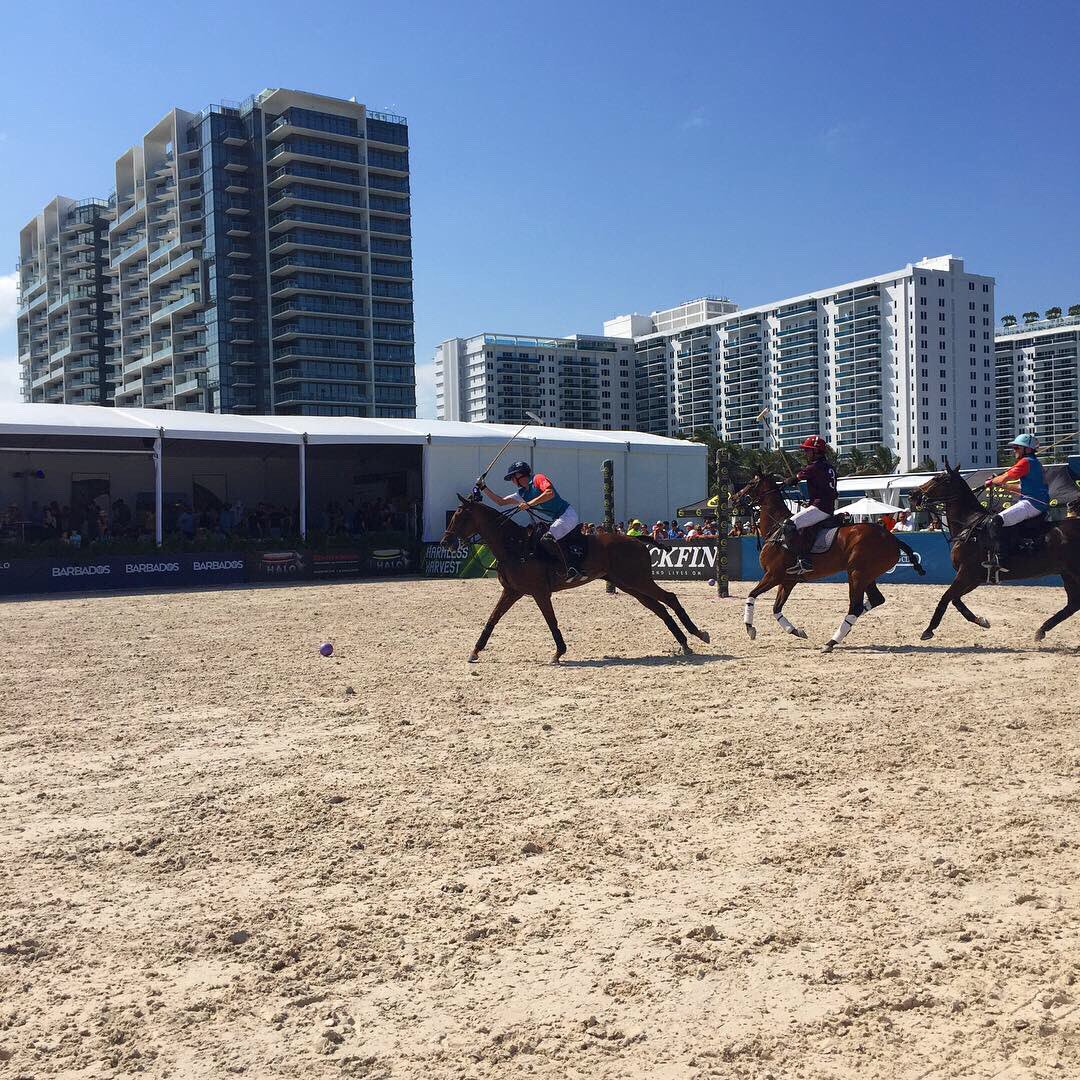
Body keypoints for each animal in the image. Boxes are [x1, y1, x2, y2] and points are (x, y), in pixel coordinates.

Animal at [438, 494, 708, 660]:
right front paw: (475, 651)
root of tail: (637, 539)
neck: (515, 546)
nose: (445, 542)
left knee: (670, 597)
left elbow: (551, 621)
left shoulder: (539, 592)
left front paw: (559, 652)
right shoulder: (512, 591)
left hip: (639, 580)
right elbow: (493, 619)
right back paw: (684, 642)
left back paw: (697, 634)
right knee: (659, 608)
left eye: (459, 516)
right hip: (628, 584)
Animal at [734, 473, 920, 648]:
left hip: (857, 574)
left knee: (856, 607)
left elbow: (751, 595)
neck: (776, 529)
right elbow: (776, 608)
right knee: (875, 600)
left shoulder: (773, 575)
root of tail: (893, 539)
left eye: (751, 483)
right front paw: (796, 631)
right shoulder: (787, 581)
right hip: (867, 575)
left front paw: (750, 628)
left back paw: (831, 642)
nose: (734, 498)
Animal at [911, 464, 1080, 639]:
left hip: (1074, 572)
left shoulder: (966, 573)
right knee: (1073, 604)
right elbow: (956, 600)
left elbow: (946, 597)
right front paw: (981, 621)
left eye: (938, 478)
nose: (913, 494)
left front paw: (928, 630)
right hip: (1067, 573)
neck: (969, 525)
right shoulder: (975, 578)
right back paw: (1042, 629)